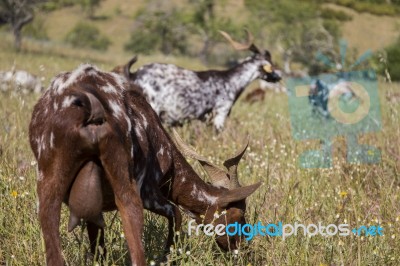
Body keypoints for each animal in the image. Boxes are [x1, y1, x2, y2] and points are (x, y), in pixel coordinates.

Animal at [30, 64, 262, 266]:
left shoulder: (94, 208)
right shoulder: (150, 192)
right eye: (239, 217)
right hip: (126, 183)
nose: (244, 250)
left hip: (49, 179)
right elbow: (176, 213)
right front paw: (167, 258)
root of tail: (91, 108)